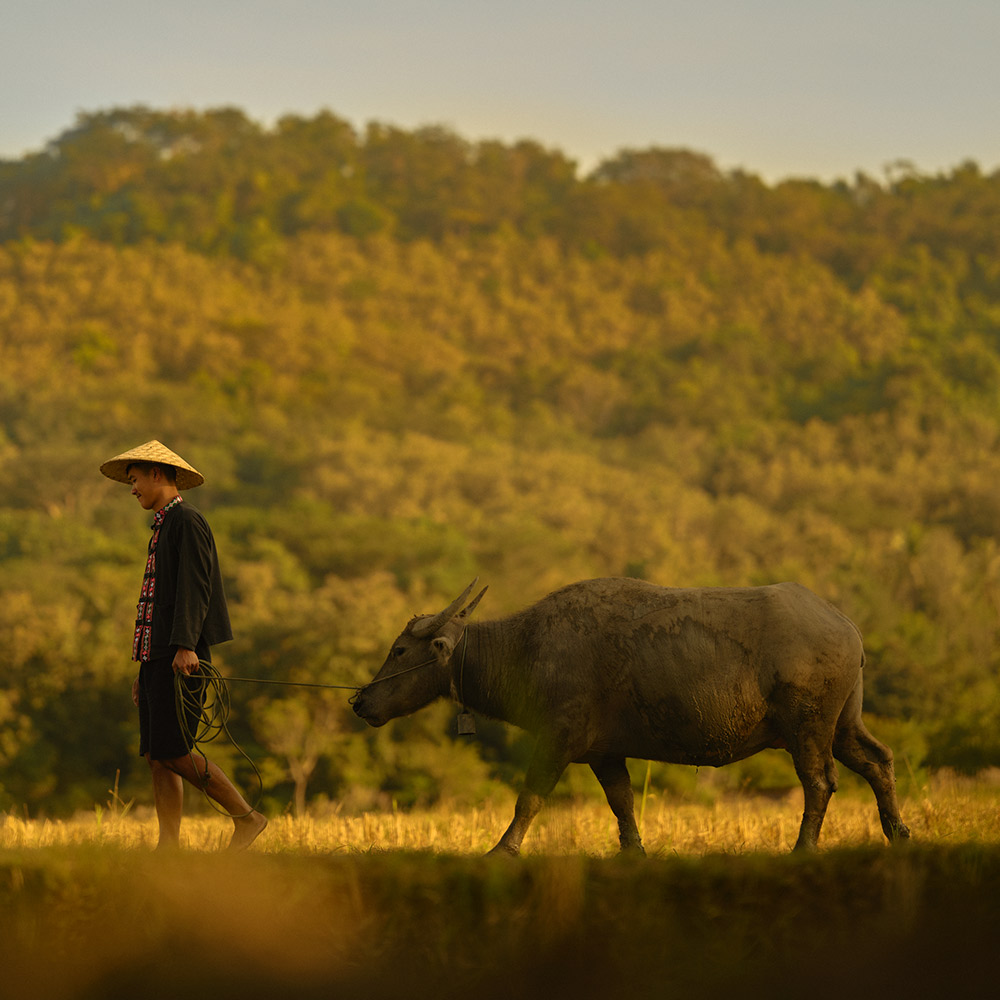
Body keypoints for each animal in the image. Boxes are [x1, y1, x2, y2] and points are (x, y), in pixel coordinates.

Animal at [356, 580, 912, 852]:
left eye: (400, 650)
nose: (359, 701)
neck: (528, 649)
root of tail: (846, 627)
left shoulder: (558, 740)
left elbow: (528, 800)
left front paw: (502, 850)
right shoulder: (604, 754)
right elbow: (622, 805)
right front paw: (634, 852)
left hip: (808, 727)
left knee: (820, 783)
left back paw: (804, 848)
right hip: (844, 724)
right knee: (878, 760)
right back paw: (899, 834)